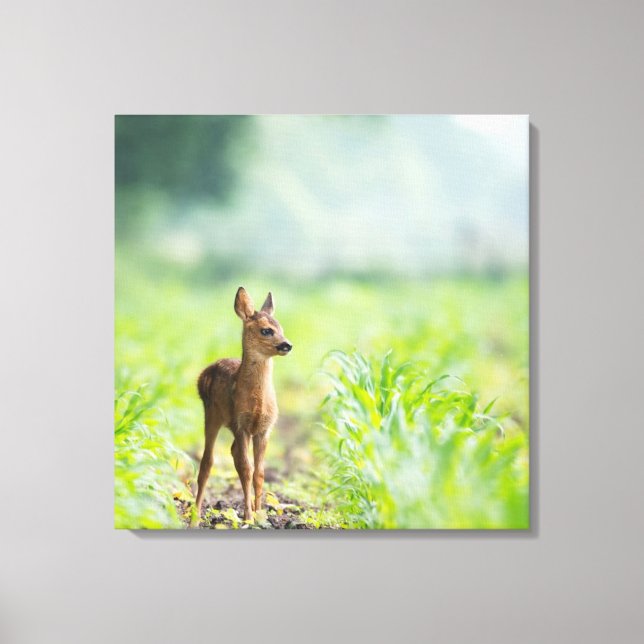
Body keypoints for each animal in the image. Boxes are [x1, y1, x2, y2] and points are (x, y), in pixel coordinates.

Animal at [193, 287, 293, 524]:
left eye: (281, 328)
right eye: (266, 331)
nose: (287, 345)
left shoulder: (264, 429)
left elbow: (259, 473)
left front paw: (260, 514)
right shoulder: (241, 425)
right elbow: (246, 469)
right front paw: (248, 516)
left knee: (232, 454)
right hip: (211, 414)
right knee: (207, 462)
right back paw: (195, 514)